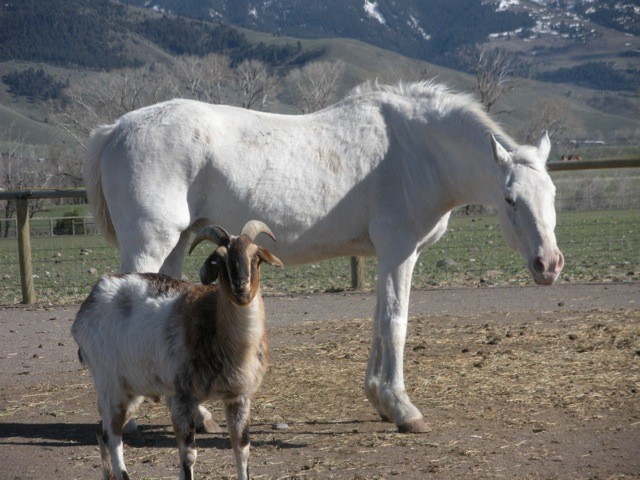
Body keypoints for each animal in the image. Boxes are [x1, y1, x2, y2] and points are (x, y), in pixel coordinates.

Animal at [72, 220, 282, 480]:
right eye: (219, 259)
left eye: (255, 256)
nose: (240, 288)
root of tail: (88, 305)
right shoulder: (182, 397)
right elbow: (188, 455)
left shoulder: (238, 397)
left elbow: (242, 449)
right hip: (109, 384)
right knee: (113, 434)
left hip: (132, 388)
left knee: (101, 431)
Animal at [84, 81, 563, 433]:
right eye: (510, 199)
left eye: (553, 193)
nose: (549, 264)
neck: (415, 151)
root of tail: (115, 129)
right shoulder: (399, 252)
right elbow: (395, 324)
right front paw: (404, 409)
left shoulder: (387, 257)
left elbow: (379, 323)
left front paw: (380, 399)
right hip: (151, 240)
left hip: (177, 243)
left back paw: (197, 417)